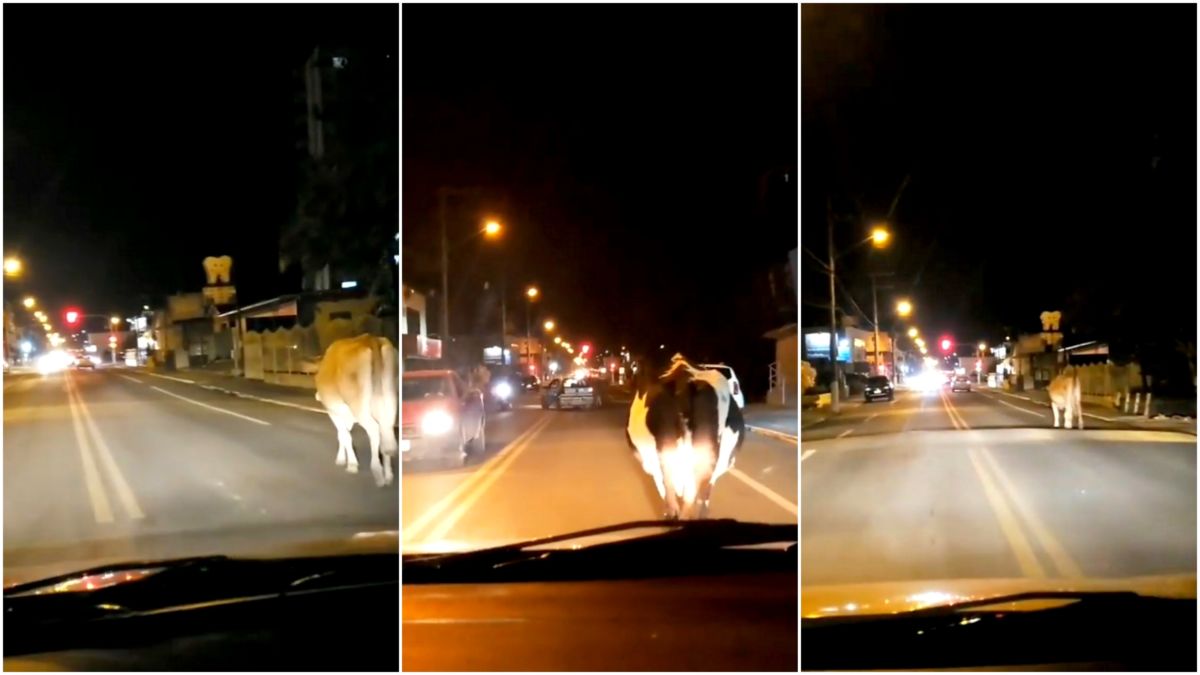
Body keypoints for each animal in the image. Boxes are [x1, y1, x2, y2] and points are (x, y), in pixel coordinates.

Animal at [314, 331, 398, 482]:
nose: (317, 396)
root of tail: (370, 339)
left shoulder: (334, 412)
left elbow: (344, 436)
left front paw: (351, 464)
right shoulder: (346, 416)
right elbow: (342, 435)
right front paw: (342, 459)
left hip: (359, 407)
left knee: (374, 429)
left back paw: (377, 471)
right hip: (391, 400)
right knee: (386, 429)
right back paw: (388, 474)